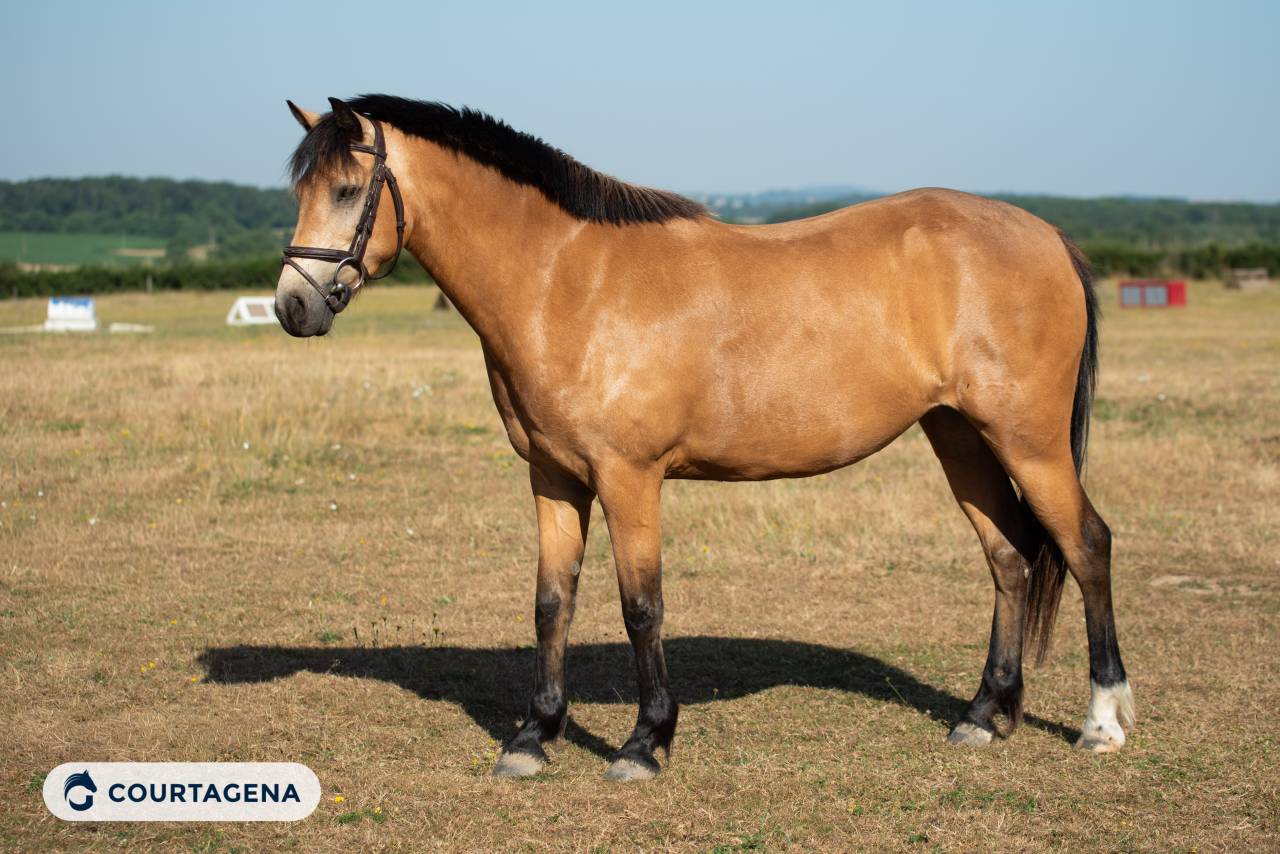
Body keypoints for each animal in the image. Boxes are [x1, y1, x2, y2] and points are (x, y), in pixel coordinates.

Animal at [274, 95, 1134, 781]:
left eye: (347, 189)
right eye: (300, 189)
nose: (292, 307)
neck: (566, 282)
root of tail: (1047, 235)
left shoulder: (628, 477)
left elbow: (640, 606)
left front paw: (644, 744)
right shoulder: (553, 477)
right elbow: (553, 602)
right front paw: (532, 737)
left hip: (1029, 440)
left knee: (1087, 544)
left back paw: (1102, 722)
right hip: (959, 434)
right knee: (1011, 557)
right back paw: (985, 715)